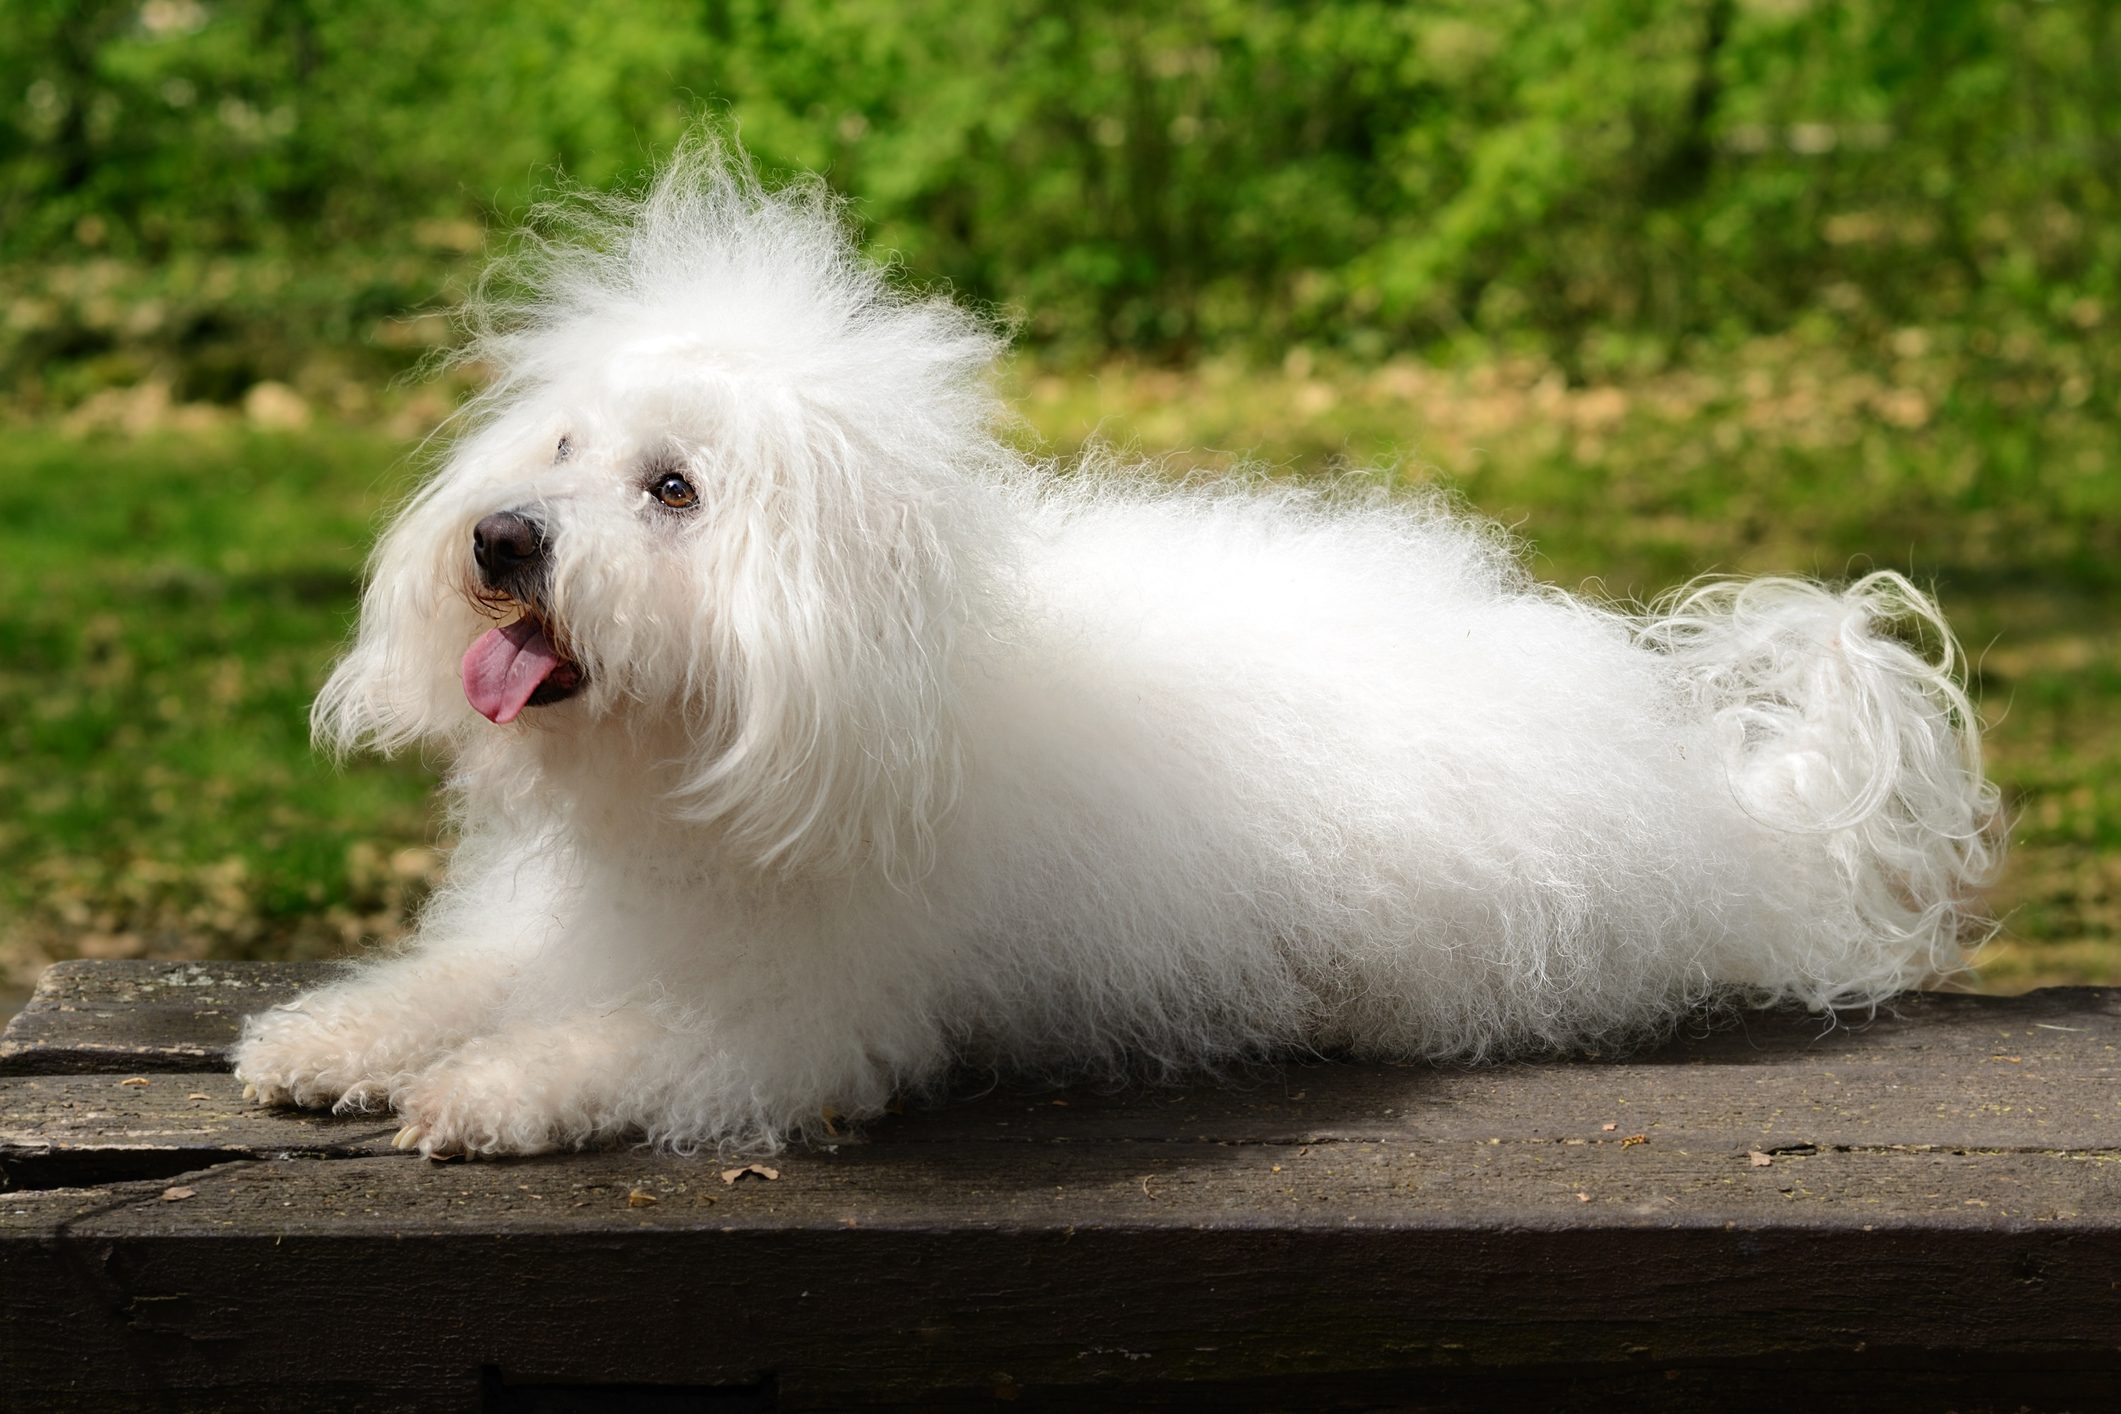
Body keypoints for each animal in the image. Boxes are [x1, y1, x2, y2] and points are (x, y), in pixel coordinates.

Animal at [236, 146, 2002, 1161]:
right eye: (557, 445)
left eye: (672, 489)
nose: (501, 542)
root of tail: (1716, 799)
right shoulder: (564, 923)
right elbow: (458, 975)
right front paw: (328, 1043)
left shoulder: (800, 1010)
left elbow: (617, 1044)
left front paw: (480, 1093)